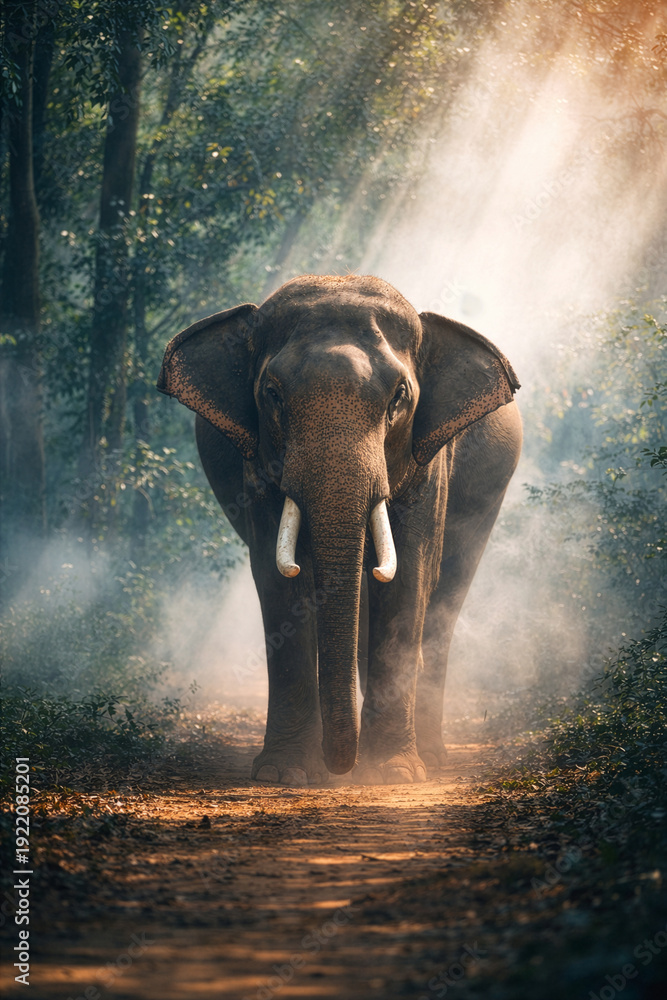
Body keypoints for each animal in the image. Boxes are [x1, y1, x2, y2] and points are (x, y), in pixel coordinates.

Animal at [157, 274, 522, 785]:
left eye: (399, 397)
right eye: (272, 394)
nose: (339, 766)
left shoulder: (429, 462)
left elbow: (409, 576)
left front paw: (394, 774)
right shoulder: (259, 468)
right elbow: (278, 580)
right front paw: (283, 773)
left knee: (445, 596)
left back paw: (430, 757)